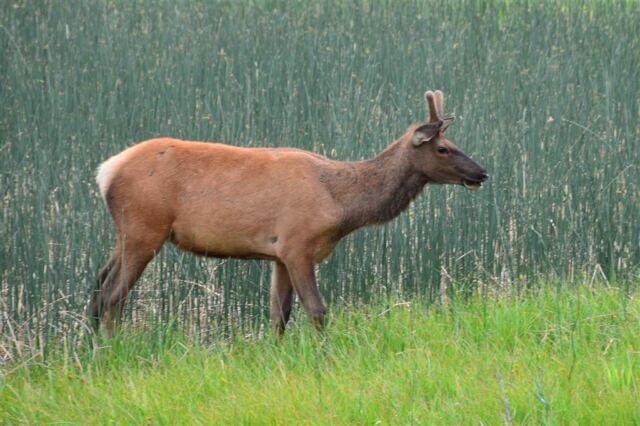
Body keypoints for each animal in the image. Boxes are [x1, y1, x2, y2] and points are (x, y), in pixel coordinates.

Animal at [90, 90, 488, 335]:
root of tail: (105, 171)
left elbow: (278, 315)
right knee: (113, 293)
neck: (341, 202)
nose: (482, 173)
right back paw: (112, 349)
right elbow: (317, 309)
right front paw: (326, 355)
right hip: (145, 227)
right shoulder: (298, 244)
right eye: (443, 148)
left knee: (98, 283)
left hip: (126, 231)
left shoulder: (277, 253)